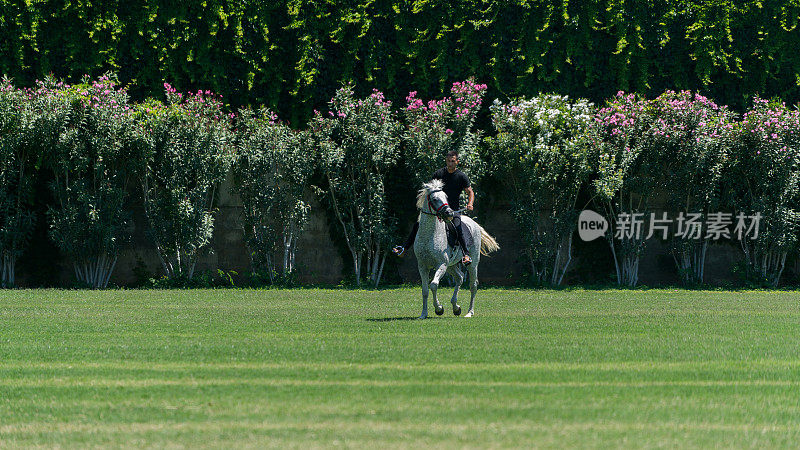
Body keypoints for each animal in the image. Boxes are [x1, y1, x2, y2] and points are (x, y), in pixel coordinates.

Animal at [416, 178, 496, 318]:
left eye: (445, 196)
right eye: (435, 199)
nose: (449, 213)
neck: (429, 235)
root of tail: (474, 224)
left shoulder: (441, 264)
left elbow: (433, 285)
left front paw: (439, 308)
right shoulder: (423, 266)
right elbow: (425, 290)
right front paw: (424, 314)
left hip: (472, 264)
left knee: (473, 285)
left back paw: (469, 312)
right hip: (451, 266)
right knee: (460, 277)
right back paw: (456, 307)